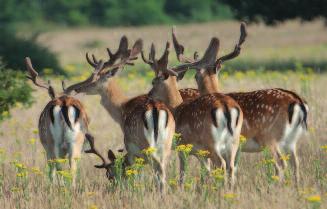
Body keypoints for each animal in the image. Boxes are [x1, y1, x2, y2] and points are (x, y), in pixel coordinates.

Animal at [25, 56, 89, 185]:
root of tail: (64, 102)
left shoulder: (47, 147)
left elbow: (52, 169)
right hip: (75, 141)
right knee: (71, 167)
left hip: (53, 141)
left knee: (58, 166)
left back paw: (60, 186)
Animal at [64, 36, 177, 191]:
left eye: (95, 78)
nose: (76, 88)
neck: (122, 108)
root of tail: (156, 110)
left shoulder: (131, 148)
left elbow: (134, 173)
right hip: (167, 143)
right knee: (164, 169)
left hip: (146, 145)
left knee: (158, 169)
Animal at [141, 40, 243, 187]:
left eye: (153, 81)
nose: (149, 95)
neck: (176, 109)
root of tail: (226, 107)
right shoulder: (200, 153)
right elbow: (205, 172)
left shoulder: (182, 146)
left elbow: (182, 174)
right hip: (234, 141)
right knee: (231, 166)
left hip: (212, 142)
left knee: (222, 164)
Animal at [173, 23, 308, 185]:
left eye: (195, 76)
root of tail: (298, 102)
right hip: (291, 140)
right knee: (296, 163)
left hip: (269, 137)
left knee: (281, 163)